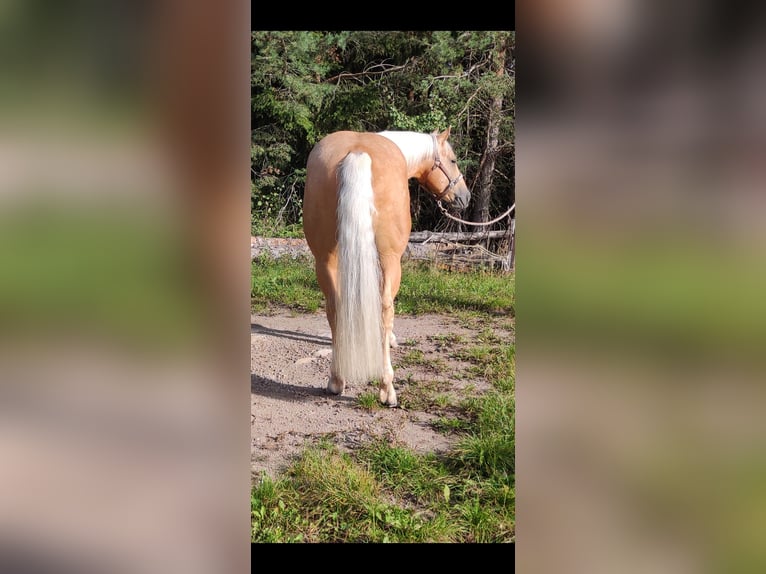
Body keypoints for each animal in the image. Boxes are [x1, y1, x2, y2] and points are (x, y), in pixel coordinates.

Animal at [302, 127, 471, 407]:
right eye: (454, 160)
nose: (465, 197)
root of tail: (357, 152)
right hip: (391, 259)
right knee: (385, 310)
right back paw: (387, 389)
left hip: (325, 260)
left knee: (335, 308)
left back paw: (336, 380)